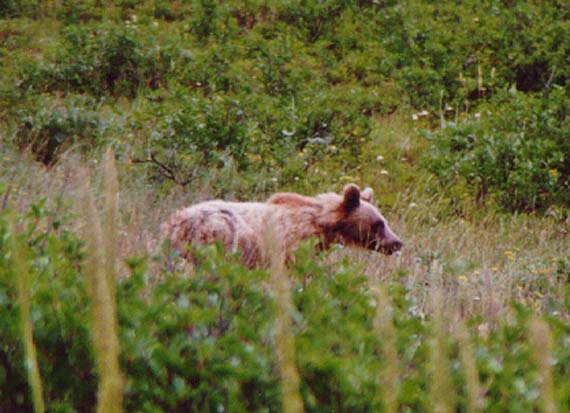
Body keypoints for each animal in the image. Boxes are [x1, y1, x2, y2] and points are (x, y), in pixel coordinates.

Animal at [161, 184, 402, 267]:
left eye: (384, 220)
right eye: (378, 223)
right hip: (217, 233)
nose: (397, 242)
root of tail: (173, 223)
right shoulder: (287, 245)